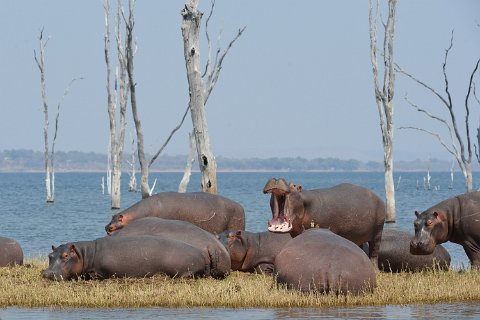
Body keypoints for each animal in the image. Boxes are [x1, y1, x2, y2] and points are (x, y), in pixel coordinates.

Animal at [43, 236, 216, 282]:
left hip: (184, 272)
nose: (47, 273)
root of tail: (202, 255)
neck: (85, 254)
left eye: (66, 255)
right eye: (49, 255)